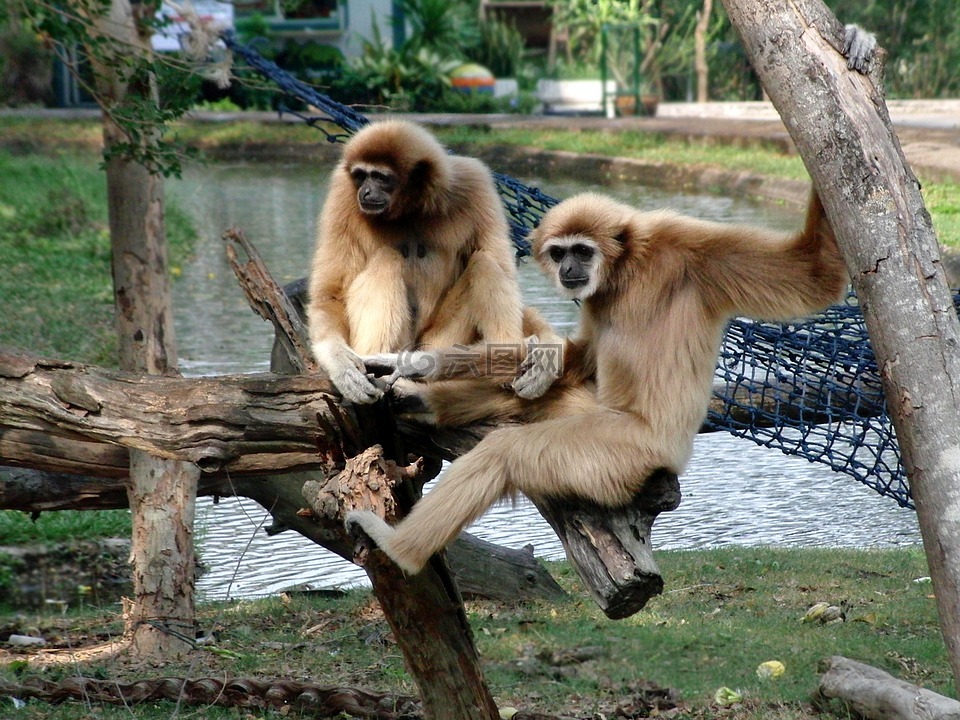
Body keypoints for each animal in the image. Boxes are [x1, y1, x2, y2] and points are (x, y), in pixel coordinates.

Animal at [307, 119, 559, 404]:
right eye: (361, 175)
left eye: (380, 177)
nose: (366, 190)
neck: (411, 209)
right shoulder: (343, 192)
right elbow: (330, 294)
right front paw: (341, 365)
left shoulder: (475, 182)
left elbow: (504, 272)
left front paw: (546, 354)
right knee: (387, 258)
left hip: (439, 339)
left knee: (485, 263)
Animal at [347, 187, 849, 574]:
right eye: (559, 253)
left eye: (582, 251)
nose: (569, 269)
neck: (628, 268)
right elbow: (582, 354)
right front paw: (419, 366)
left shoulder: (688, 245)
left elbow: (812, 273)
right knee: (529, 398)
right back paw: (428, 404)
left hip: (621, 452)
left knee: (505, 453)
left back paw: (400, 548)